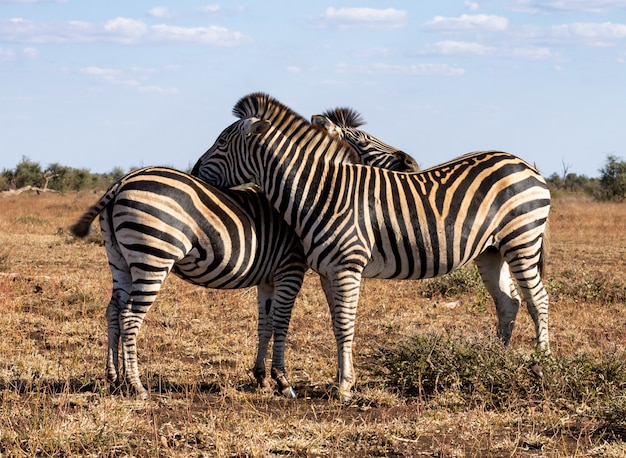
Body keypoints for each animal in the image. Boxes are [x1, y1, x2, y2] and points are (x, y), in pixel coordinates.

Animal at [191, 92, 552, 400]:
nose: (193, 171)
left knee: (538, 299)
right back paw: (494, 359)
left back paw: (542, 366)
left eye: (221, 142)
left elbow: (345, 324)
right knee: (508, 302)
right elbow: (337, 324)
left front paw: (344, 388)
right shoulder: (327, 272)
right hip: (491, 251)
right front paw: (340, 381)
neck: (321, 191)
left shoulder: (347, 267)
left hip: (522, 240)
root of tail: (523, 164)